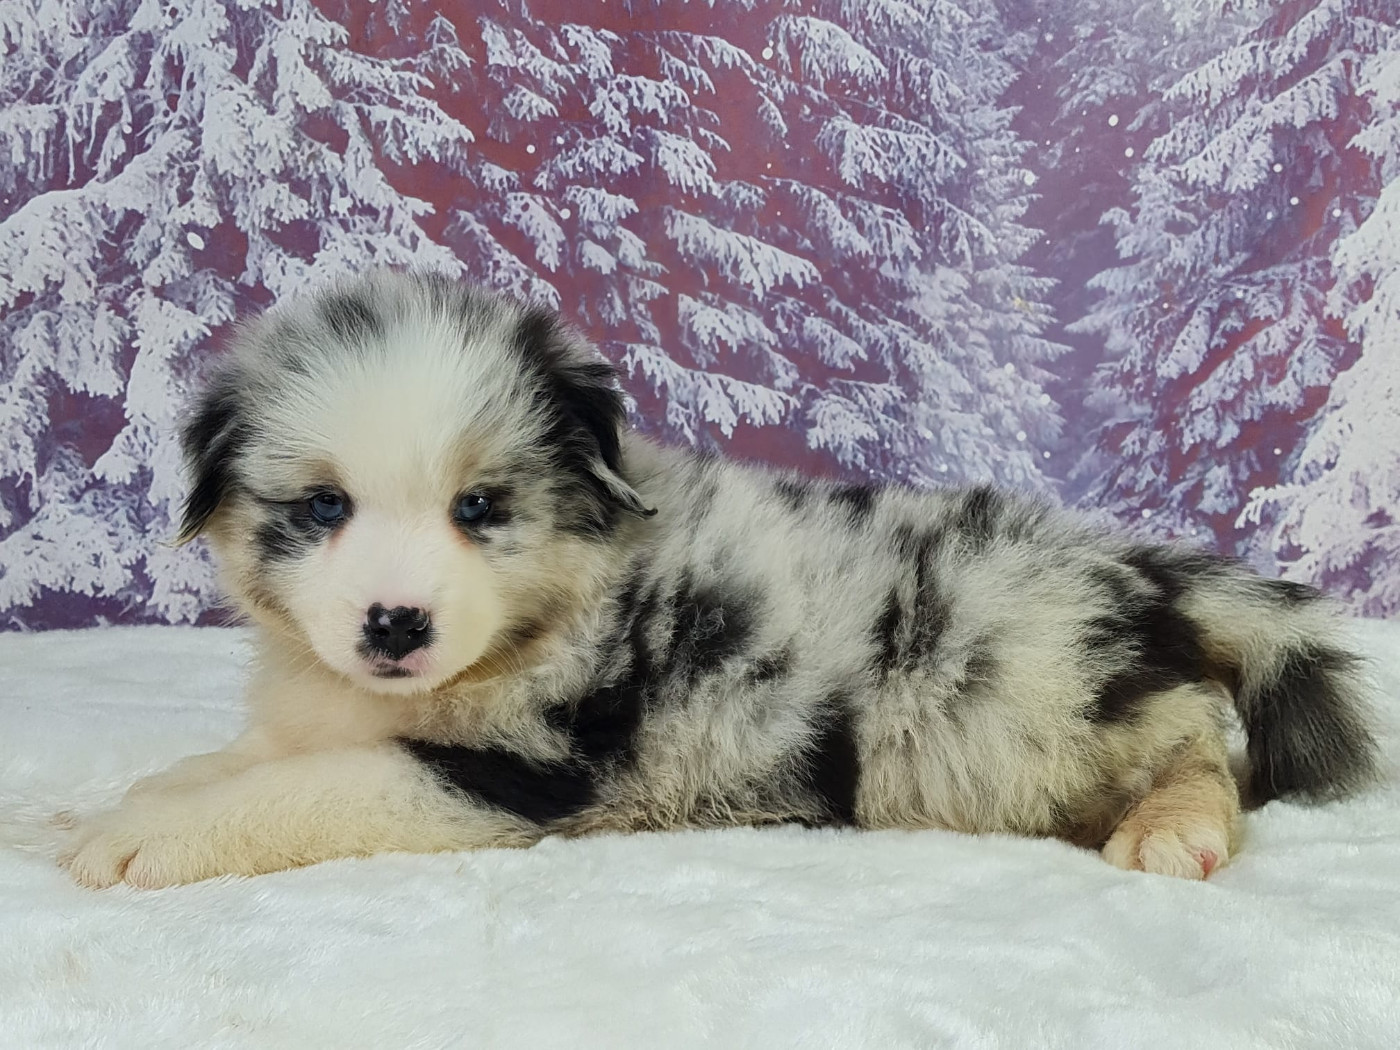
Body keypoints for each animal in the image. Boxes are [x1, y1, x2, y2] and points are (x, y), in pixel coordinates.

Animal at [61, 270, 1379, 889]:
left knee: (1192, 737)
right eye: (323, 508)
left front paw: (148, 836)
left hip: (1015, 695)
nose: (394, 625)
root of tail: (1133, 564)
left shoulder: (530, 774)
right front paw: (141, 793)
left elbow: (322, 782)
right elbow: (256, 754)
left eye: (478, 509)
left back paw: (1172, 825)